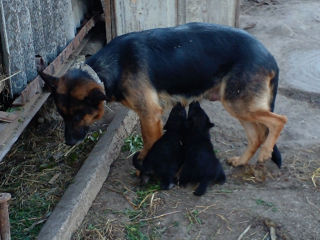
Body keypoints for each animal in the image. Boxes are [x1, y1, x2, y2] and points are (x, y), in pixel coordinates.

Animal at [39, 23, 288, 169]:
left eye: (79, 115)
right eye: (63, 115)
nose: (68, 142)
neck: (108, 67)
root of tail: (269, 56)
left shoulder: (149, 112)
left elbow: (150, 139)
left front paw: (145, 163)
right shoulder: (147, 113)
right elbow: (148, 136)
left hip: (238, 103)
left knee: (278, 121)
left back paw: (265, 152)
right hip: (239, 104)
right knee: (257, 135)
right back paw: (242, 161)